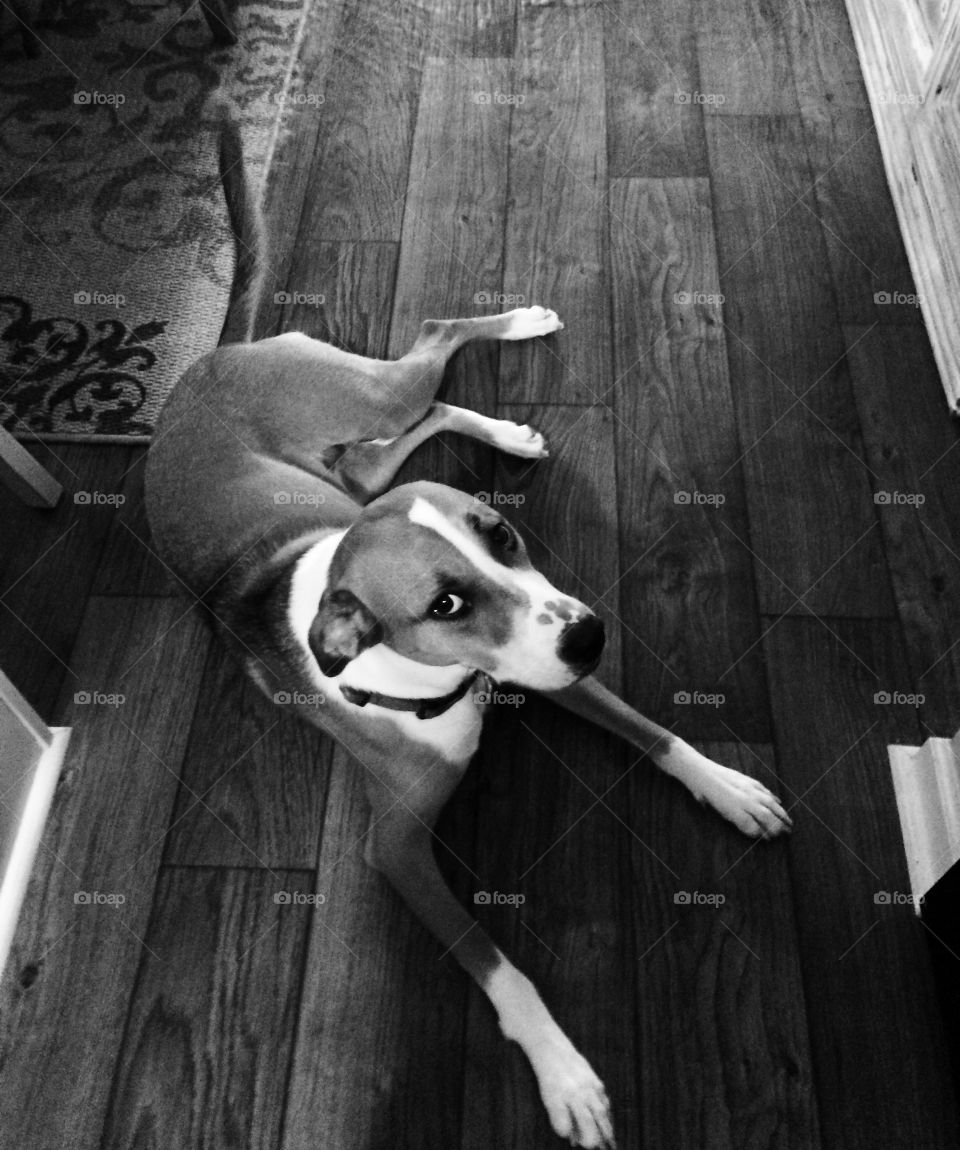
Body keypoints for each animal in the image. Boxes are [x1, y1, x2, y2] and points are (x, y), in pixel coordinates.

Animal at [140, 109, 786, 1150]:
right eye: (443, 605)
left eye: (504, 536)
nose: (593, 638)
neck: (431, 683)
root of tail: (199, 365)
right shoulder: (399, 851)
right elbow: (496, 961)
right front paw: (565, 1075)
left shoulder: (555, 659)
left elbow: (656, 731)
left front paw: (728, 788)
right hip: (353, 444)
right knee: (417, 393)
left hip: (358, 431)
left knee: (433, 355)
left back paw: (514, 360)